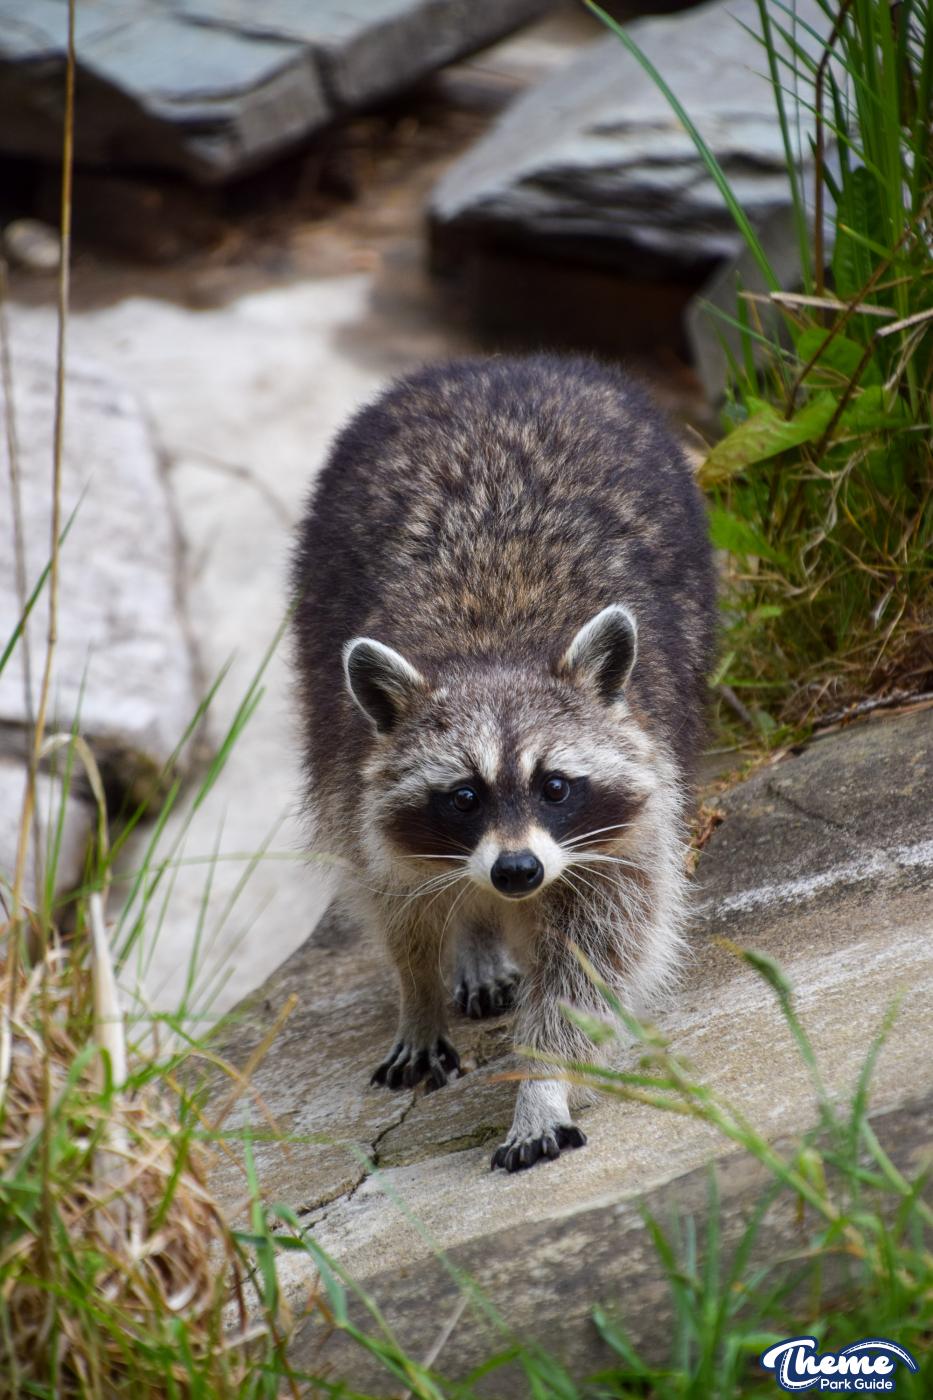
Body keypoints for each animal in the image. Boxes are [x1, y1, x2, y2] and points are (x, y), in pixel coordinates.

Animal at [291, 354, 715, 1172]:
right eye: (463, 796)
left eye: (555, 787)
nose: (516, 872)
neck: (492, 649)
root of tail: (494, 365)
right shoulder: (351, 774)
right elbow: (398, 904)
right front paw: (419, 992)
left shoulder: (623, 834)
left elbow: (593, 962)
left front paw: (541, 1081)